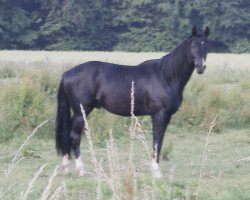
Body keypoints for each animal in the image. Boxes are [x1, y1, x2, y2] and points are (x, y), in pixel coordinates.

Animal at [56, 25, 209, 177]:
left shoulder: (166, 116)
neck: (165, 75)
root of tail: (66, 74)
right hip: (80, 112)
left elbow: (159, 140)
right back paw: (81, 169)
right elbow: (157, 141)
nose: (201, 67)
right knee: (74, 137)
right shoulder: (159, 115)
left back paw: (66, 165)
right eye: (192, 45)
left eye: (206, 45)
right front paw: (156, 172)